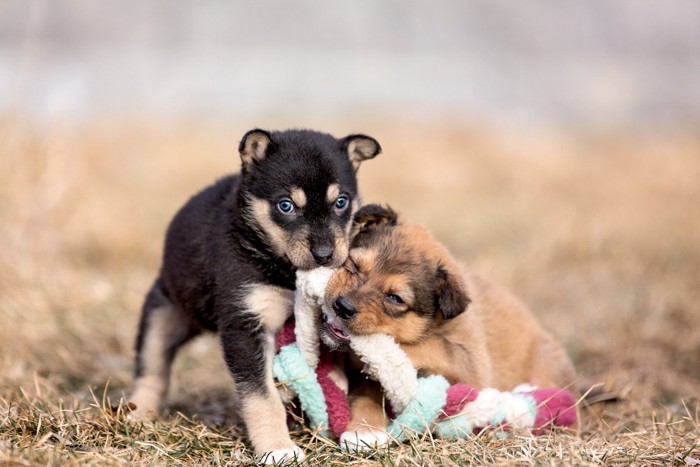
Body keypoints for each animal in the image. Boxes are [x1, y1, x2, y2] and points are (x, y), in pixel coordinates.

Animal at [131, 129, 382, 464]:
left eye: (341, 201)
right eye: (286, 206)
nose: (324, 255)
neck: (285, 272)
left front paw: (357, 425)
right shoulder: (245, 326)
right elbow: (262, 397)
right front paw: (278, 448)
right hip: (163, 314)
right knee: (152, 370)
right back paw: (137, 414)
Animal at [320, 207, 576, 448]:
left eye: (395, 298)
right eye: (354, 265)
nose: (342, 306)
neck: (435, 324)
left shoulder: (472, 365)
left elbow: (434, 347)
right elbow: (366, 394)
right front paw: (364, 429)